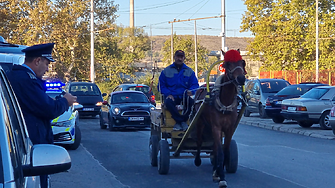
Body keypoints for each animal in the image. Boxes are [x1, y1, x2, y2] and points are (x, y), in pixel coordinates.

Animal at [192, 50, 247, 188]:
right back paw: (198, 160)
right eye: (228, 64)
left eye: (242, 62)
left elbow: (225, 150)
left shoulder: (229, 129)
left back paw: (215, 170)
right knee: (199, 141)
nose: (241, 78)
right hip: (201, 122)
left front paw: (219, 172)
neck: (225, 102)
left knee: (215, 148)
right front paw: (222, 178)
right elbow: (221, 152)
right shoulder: (216, 127)